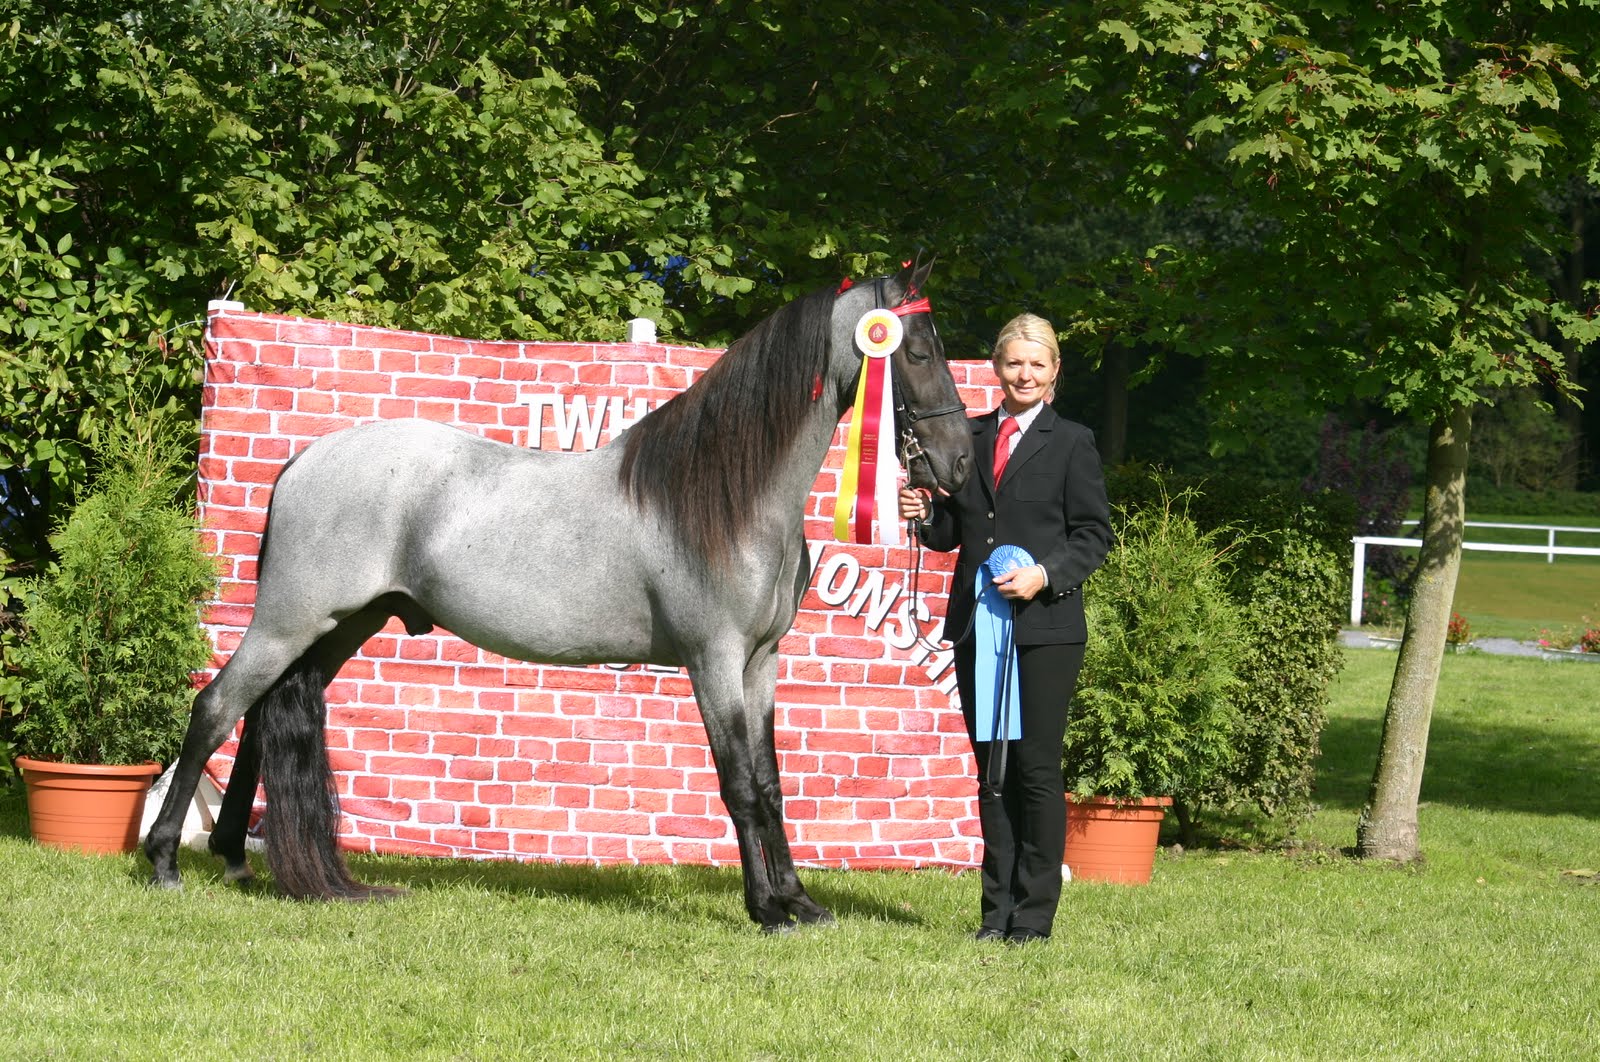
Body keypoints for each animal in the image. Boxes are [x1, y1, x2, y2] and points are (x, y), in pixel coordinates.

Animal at [143, 255, 973, 931]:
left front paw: (800, 901)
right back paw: (164, 861)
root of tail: (304, 459)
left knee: (256, 718)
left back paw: (235, 856)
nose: (960, 461)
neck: (726, 495)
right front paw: (765, 910)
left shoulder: (761, 662)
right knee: (214, 707)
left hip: (337, 626)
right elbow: (738, 783)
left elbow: (770, 785)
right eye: (918, 350)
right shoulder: (714, 660)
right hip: (290, 620)